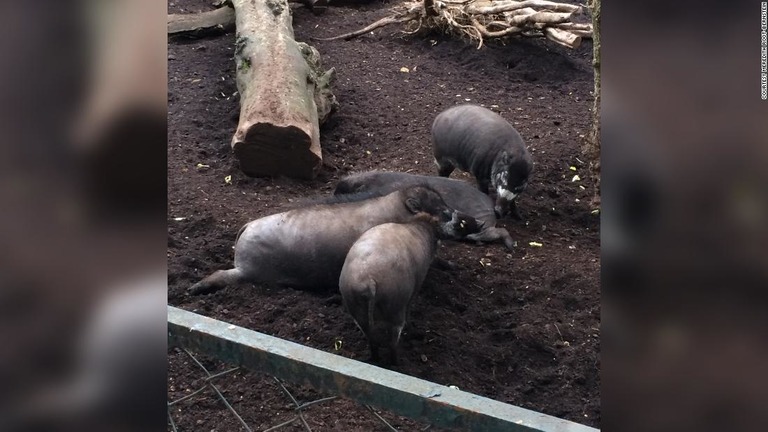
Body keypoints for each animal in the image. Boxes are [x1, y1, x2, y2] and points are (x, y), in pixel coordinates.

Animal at [188, 184, 480, 296]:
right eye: (443, 211)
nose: (474, 222)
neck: (397, 211)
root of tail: (246, 227)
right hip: (247, 271)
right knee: (220, 276)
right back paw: (193, 289)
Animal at [340, 214, 440, 366]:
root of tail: (368, 281)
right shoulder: (414, 290)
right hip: (395, 308)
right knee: (393, 341)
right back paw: (396, 364)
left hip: (357, 311)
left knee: (372, 339)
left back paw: (375, 359)